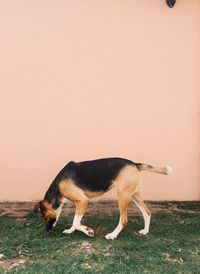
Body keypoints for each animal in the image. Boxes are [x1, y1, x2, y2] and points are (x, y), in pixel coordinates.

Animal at [34, 158, 172, 240]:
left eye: (44, 216)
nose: (47, 230)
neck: (58, 186)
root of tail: (134, 164)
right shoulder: (79, 204)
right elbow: (75, 222)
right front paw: (71, 230)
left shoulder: (83, 201)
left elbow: (76, 222)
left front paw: (88, 231)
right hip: (133, 195)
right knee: (147, 213)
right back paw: (145, 231)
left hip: (122, 195)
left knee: (124, 220)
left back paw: (113, 235)